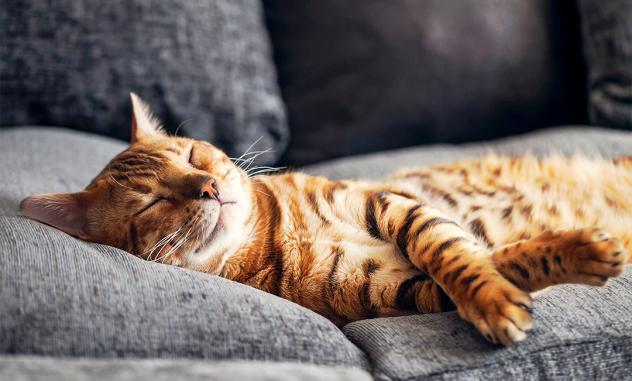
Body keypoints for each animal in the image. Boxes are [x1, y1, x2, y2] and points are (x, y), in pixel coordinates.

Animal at [18, 93, 628, 346]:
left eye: (193, 155)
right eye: (152, 203)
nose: (210, 187)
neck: (274, 236)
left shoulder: (390, 204)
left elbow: (452, 251)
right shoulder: (395, 290)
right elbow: (486, 263)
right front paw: (512, 292)